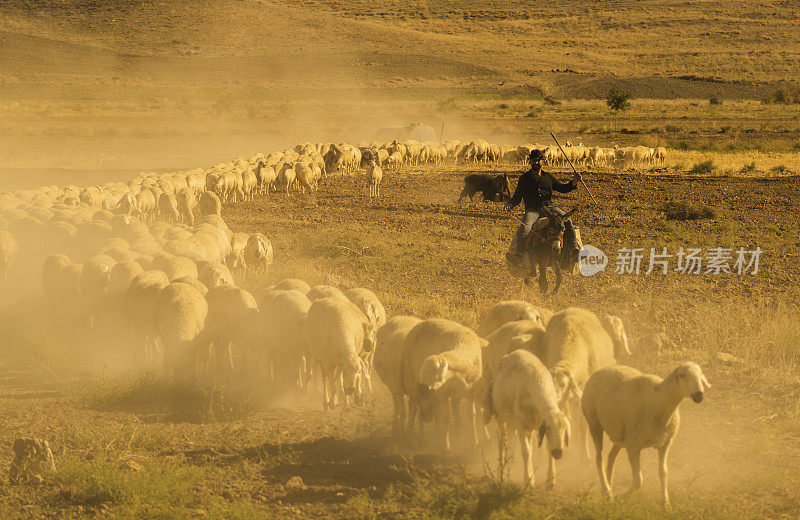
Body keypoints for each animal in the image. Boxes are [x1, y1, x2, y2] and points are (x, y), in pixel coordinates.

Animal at [488, 350, 568, 488]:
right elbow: (525, 452)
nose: (558, 452)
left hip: (523, 425)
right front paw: (527, 481)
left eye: (564, 430)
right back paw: (501, 475)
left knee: (520, 446)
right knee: (503, 445)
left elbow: (545, 449)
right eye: (548, 428)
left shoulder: (537, 425)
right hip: (501, 417)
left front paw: (550, 479)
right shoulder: (521, 425)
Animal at [580, 362, 712, 508]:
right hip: (594, 421)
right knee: (600, 458)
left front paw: (666, 504)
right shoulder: (633, 446)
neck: (659, 402)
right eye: (682, 375)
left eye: (700, 375)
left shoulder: (665, 443)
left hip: (621, 436)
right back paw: (607, 491)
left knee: (611, 457)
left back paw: (608, 489)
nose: (699, 395)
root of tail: (602, 369)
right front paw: (622, 497)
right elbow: (638, 480)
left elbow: (663, 474)